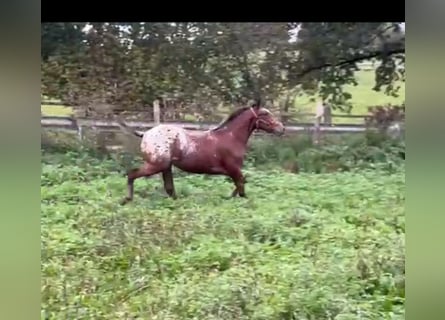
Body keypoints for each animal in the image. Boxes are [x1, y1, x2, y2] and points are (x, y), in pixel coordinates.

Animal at [116, 101, 284, 204]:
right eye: (265, 114)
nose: (281, 129)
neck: (231, 137)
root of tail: (145, 133)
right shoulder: (233, 169)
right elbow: (242, 187)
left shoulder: (232, 171)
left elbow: (241, 183)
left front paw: (229, 198)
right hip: (156, 165)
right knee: (132, 174)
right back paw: (126, 200)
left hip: (165, 167)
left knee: (169, 188)